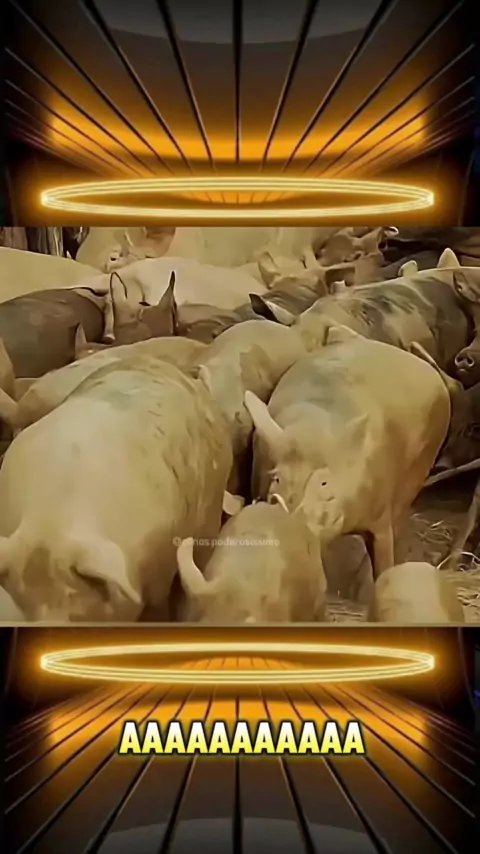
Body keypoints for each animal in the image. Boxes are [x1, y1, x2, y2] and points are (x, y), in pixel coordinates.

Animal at [244, 324, 451, 580]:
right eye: (277, 478)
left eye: (324, 483)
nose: (290, 522)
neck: (312, 429)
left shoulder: (380, 512)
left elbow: (383, 557)